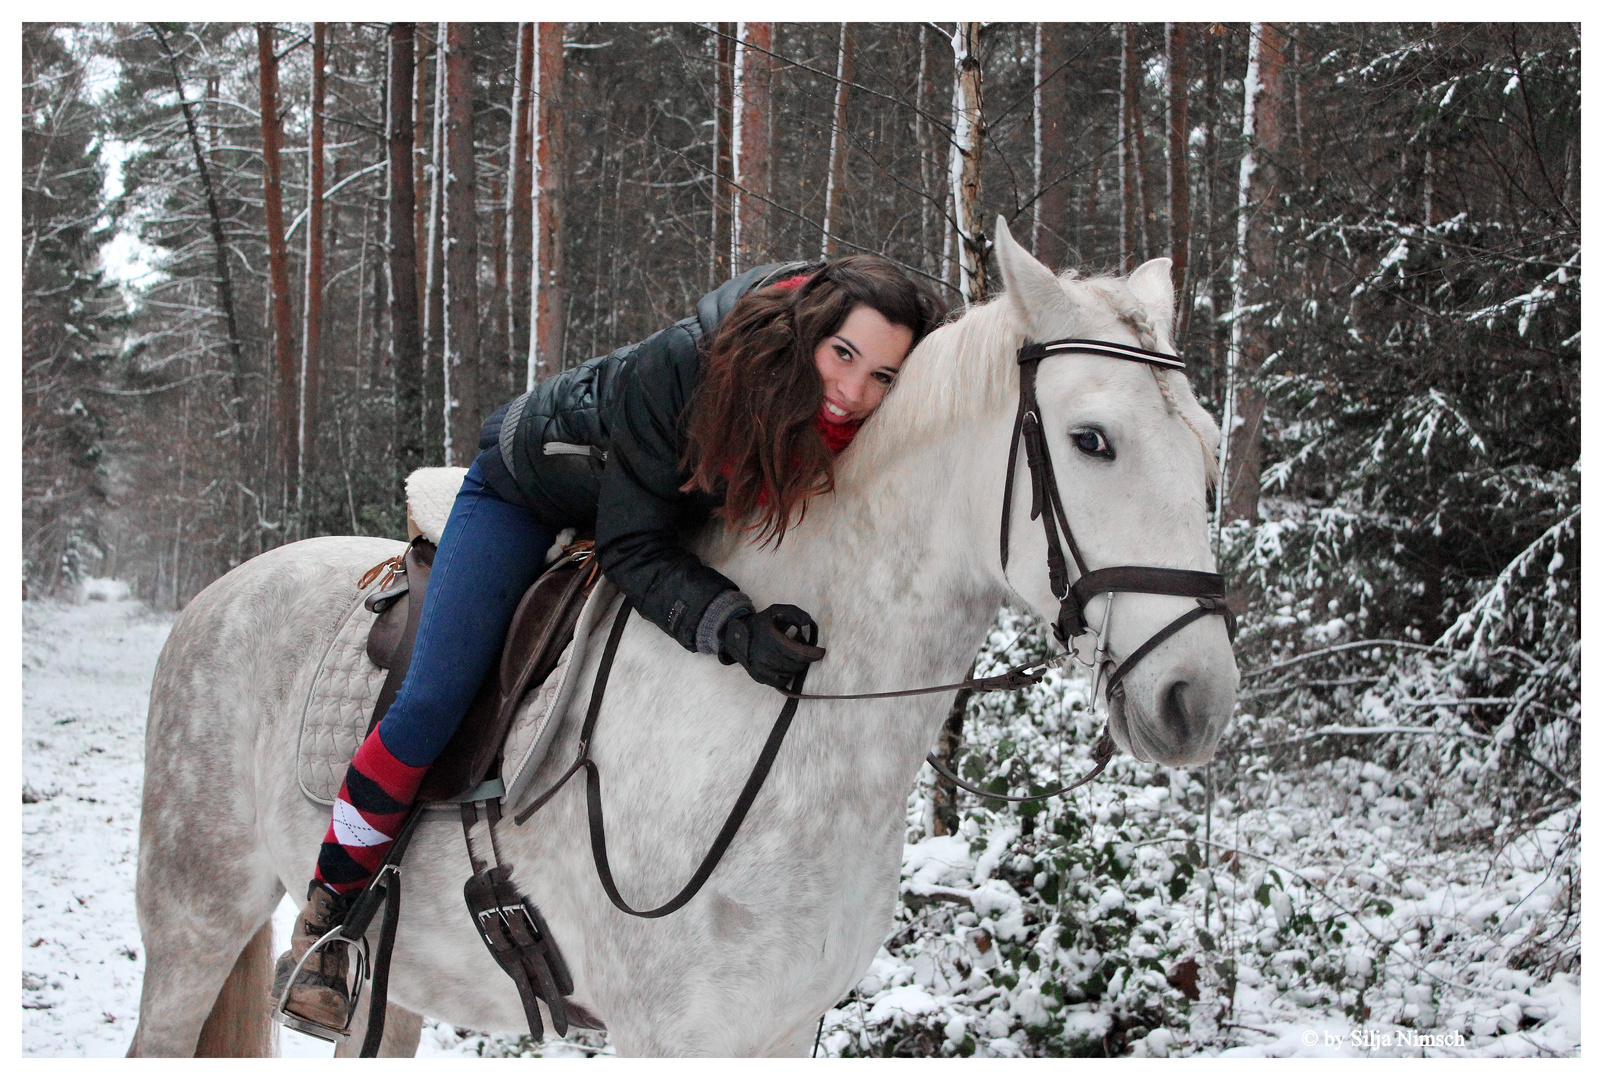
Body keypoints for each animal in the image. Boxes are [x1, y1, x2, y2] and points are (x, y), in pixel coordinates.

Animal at [131, 217, 1231, 1051]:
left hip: (393, 988)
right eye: (1091, 441)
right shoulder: (671, 1033)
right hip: (195, 925)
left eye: (1209, 446)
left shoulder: (780, 1030)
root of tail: (223, 592)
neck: (779, 734)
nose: (1196, 701)